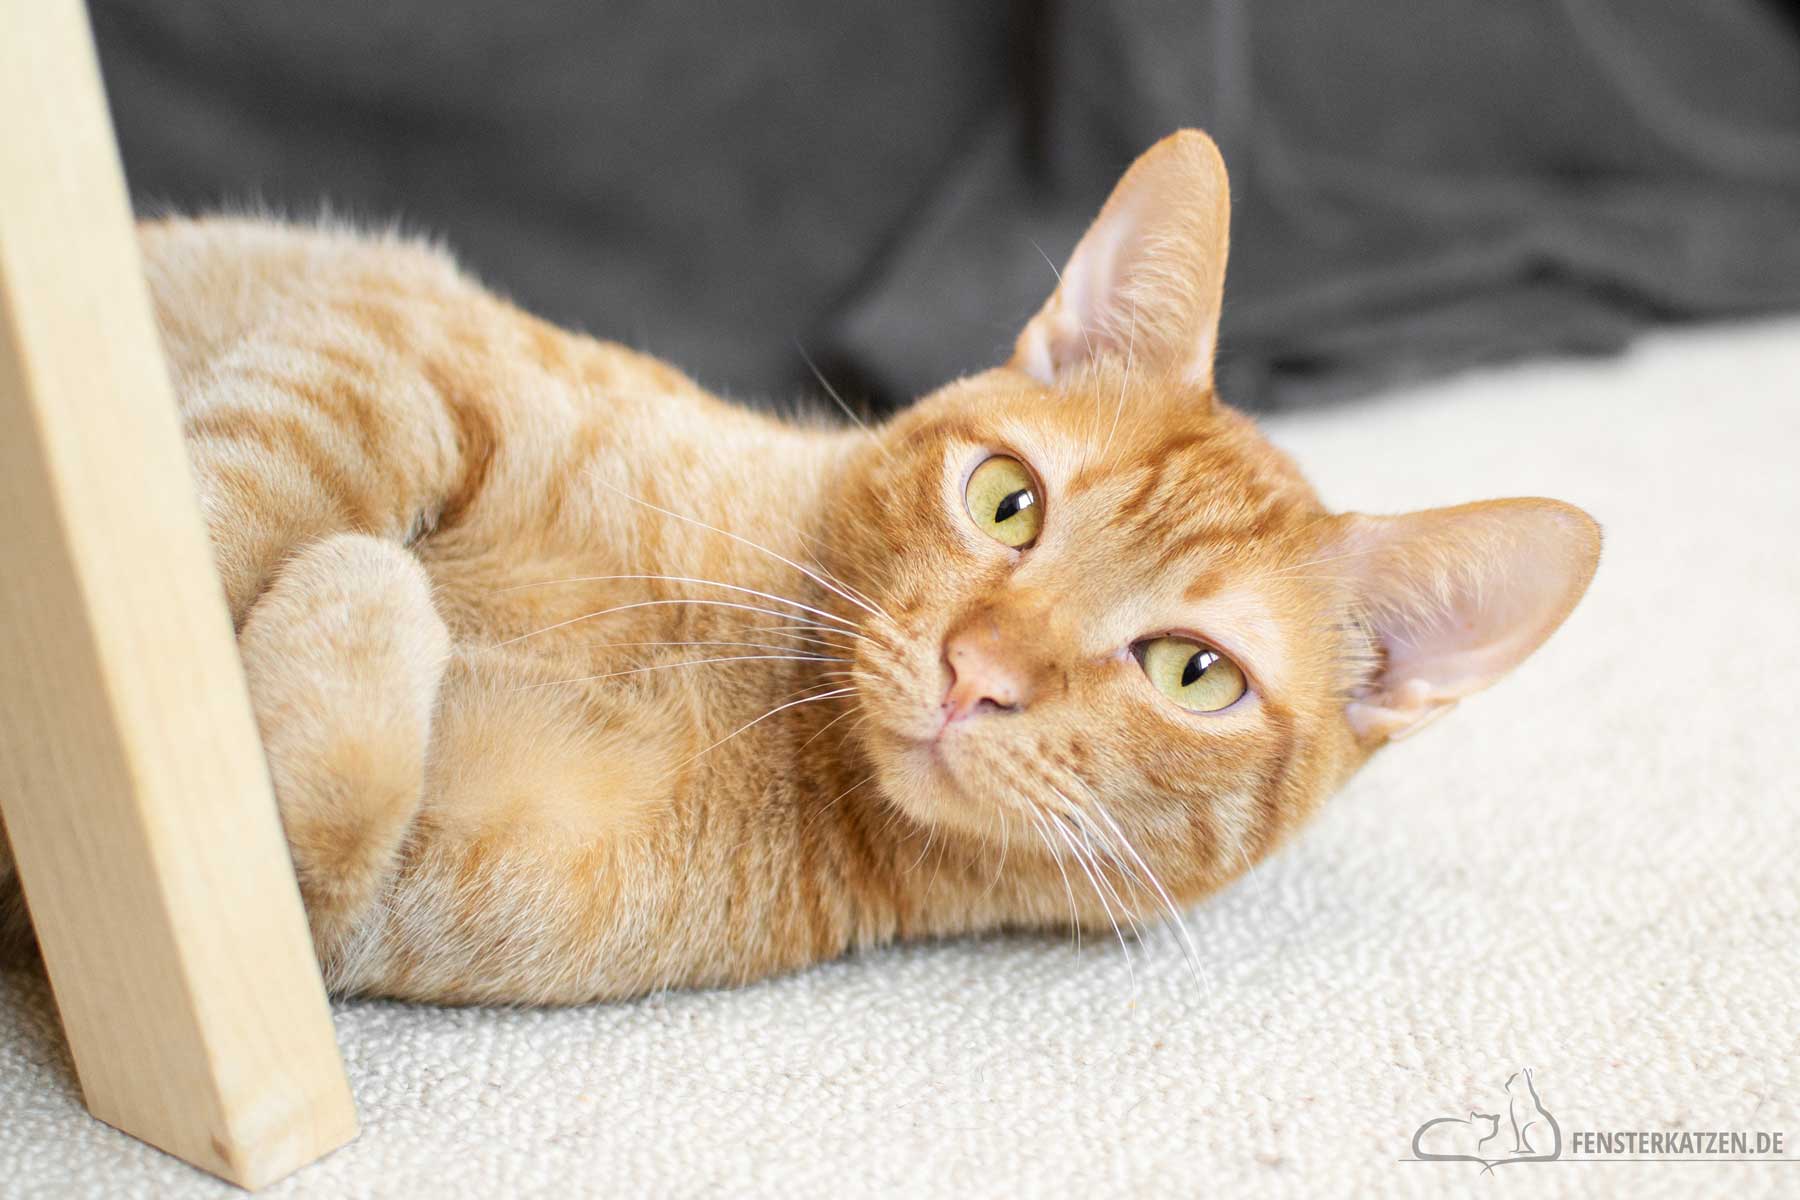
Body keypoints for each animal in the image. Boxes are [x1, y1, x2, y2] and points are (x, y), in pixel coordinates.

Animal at [0, 134, 1605, 1007]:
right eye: (1010, 504)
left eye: (1191, 672)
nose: (977, 673)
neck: (773, 701)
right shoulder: (398, 342)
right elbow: (235, 498)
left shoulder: (369, 909)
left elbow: (328, 797)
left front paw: (353, 603)